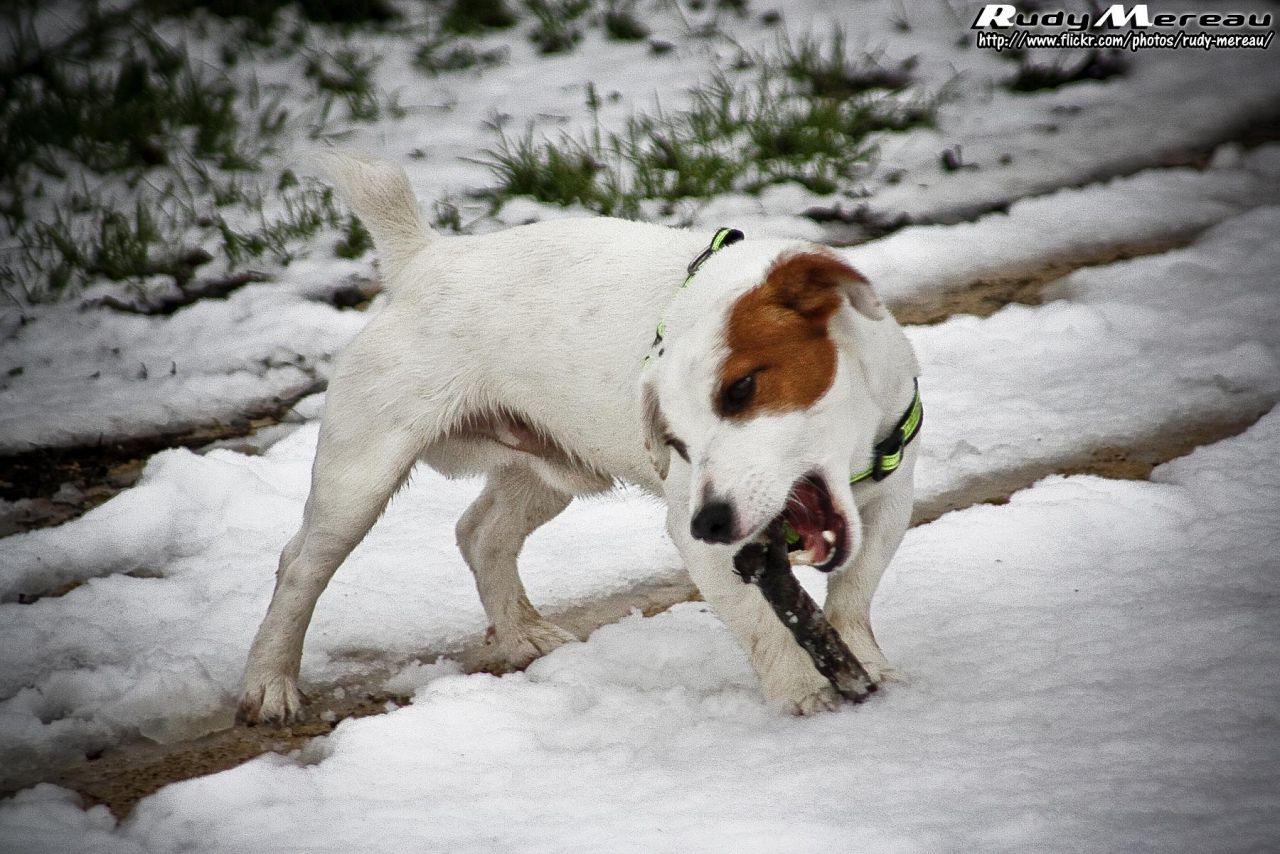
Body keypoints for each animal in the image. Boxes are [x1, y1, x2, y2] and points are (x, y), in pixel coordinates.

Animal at [237, 151, 921, 723]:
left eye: (743, 388)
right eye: (673, 440)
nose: (714, 522)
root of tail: (426, 257)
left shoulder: (891, 504)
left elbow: (852, 598)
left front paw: (868, 668)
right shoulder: (698, 541)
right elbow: (763, 625)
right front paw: (801, 695)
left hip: (546, 469)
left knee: (481, 534)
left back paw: (522, 634)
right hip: (362, 473)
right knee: (298, 566)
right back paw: (269, 685)